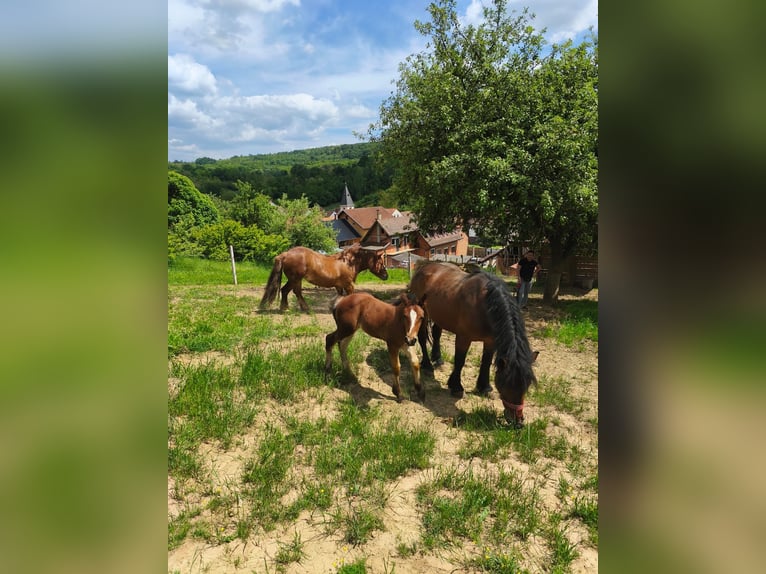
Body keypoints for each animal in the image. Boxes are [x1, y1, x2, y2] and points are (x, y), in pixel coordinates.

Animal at [259, 244, 388, 312]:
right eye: (381, 262)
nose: (386, 276)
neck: (349, 262)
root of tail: (285, 254)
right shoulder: (348, 285)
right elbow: (350, 296)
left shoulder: (339, 285)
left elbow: (339, 296)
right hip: (294, 279)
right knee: (288, 291)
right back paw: (290, 308)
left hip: (296, 279)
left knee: (293, 291)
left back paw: (297, 308)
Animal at [407, 262, 538, 427]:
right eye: (507, 385)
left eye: (527, 385)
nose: (518, 422)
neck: (484, 305)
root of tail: (423, 267)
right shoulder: (464, 338)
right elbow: (460, 361)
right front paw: (456, 387)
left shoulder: (490, 341)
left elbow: (486, 362)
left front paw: (484, 387)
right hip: (423, 313)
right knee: (423, 338)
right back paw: (427, 365)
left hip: (440, 315)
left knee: (437, 333)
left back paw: (438, 359)